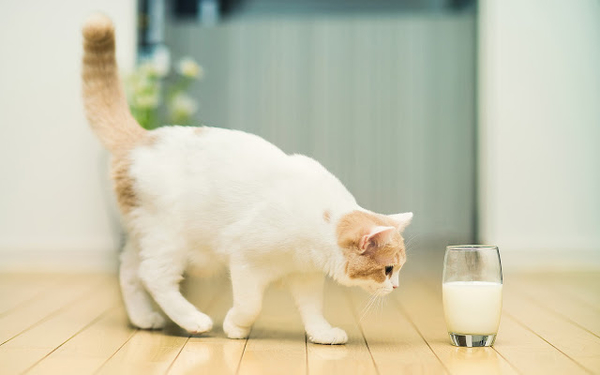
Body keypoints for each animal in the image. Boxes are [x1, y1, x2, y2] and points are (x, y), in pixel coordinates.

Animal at [81, 13, 412, 346]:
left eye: (398, 269)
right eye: (387, 269)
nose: (396, 286)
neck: (320, 221)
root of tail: (142, 138)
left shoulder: (305, 276)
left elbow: (312, 309)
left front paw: (322, 333)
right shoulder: (244, 261)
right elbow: (251, 304)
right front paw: (236, 327)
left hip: (145, 237)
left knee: (129, 273)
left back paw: (144, 319)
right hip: (167, 239)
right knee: (153, 275)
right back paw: (194, 320)